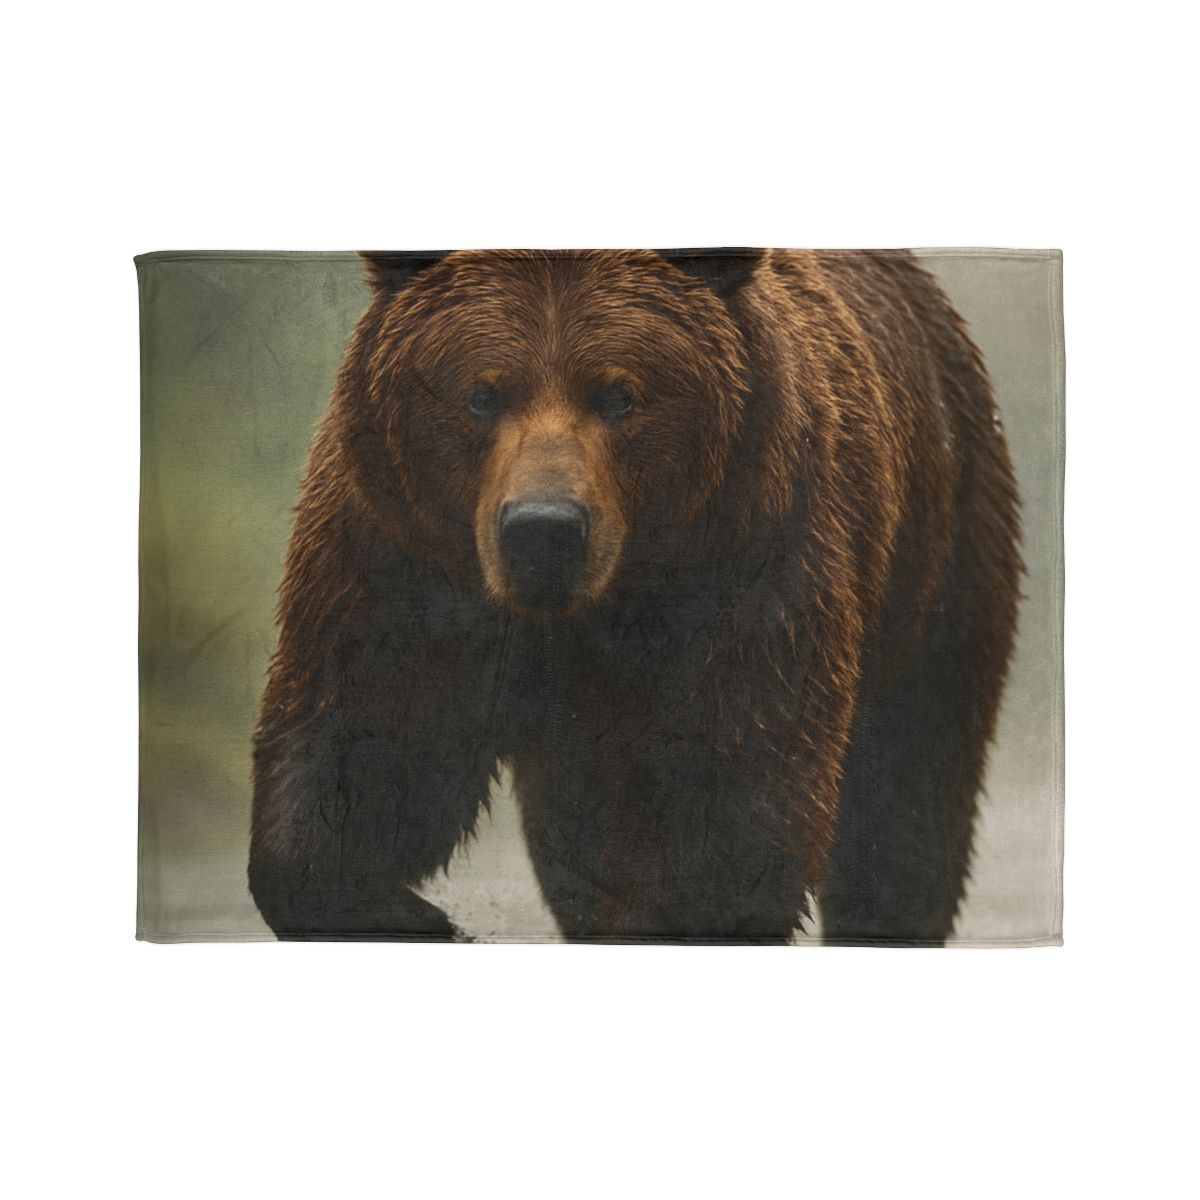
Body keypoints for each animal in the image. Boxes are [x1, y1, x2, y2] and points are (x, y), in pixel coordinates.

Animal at [249, 248, 1022, 945]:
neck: (585, 611)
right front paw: (403, 908)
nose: (544, 530)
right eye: (482, 393)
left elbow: (730, 786)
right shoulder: (398, 552)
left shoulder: (749, 556)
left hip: (939, 554)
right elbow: (370, 729)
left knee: (908, 791)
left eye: (620, 394)